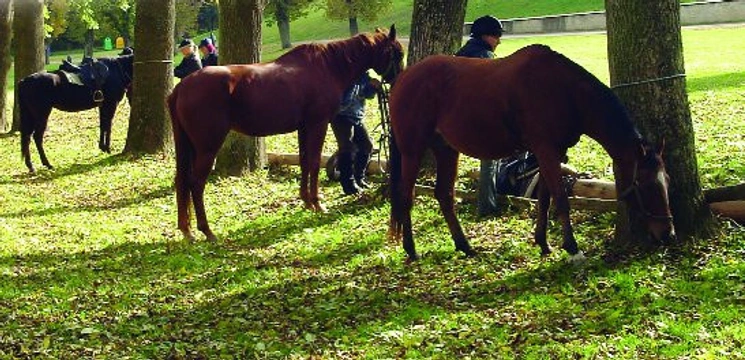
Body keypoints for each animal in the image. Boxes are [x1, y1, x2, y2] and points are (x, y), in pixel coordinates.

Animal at [169, 26, 404, 242]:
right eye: (398, 54)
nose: (398, 83)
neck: (327, 66)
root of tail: (181, 87)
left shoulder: (304, 127)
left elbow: (305, 162)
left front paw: (307, 201)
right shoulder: (318, 124)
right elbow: (314, 162)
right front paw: (318, 203)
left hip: (188, 146)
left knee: (182, 181)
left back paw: (187, 230)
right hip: (208, 147)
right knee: (196, 183)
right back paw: (207, 231)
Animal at [390, 45, 676, 262]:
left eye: (667, 181)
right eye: (644, 184)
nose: (668, 234)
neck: (564, 91)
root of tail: (402, 78)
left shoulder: (551, 153)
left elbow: (545, 199)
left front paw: (544, 243)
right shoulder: (546, 150)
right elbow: (560, 199)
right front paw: (573, 249)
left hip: (447, 150)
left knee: (444, 195)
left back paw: (464, 246)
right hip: (412, 150)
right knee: (406, 195)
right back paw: (411, 250)